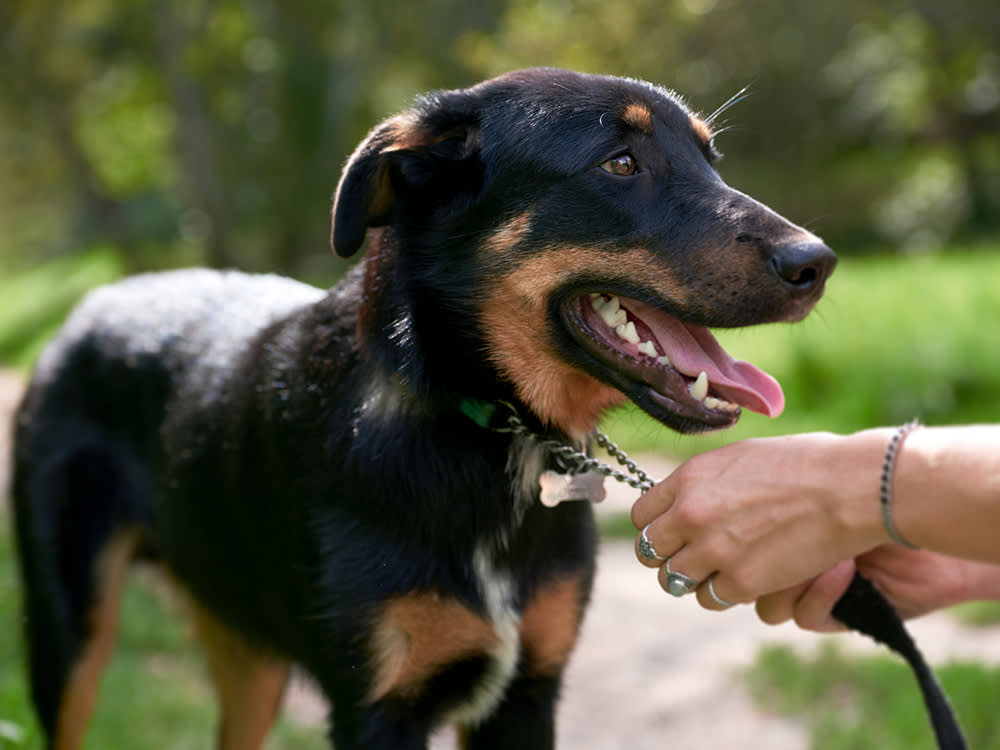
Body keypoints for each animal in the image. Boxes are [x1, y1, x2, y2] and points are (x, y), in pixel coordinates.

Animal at [11, 67, 836, 748]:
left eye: (709, 160)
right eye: (621, 163)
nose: (817, 263)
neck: (485, 428)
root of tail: (91, 306)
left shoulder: (528, 694)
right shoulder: (379, 708)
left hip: (247, 650)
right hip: (70, 635)